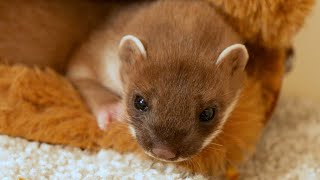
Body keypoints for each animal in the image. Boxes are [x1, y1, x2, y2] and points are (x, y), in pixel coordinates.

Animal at [66, 0, 249, 162]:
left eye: (208, 113)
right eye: (139, 101)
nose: (164, 151)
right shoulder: (93, 53)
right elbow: (83, 79)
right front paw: (112, 111)